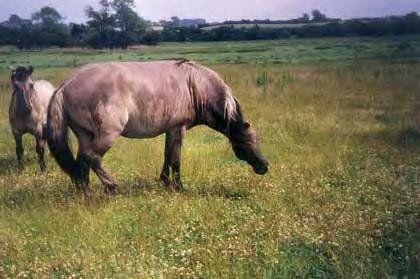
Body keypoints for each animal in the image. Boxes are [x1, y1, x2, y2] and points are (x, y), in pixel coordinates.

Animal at [46, 61, 270, 196]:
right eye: (246, 143)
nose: (264, 166)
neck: (195, 85)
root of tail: (65, 86)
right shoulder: (178, 129)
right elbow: (176, 160)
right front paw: (179, 187)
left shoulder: (170, 130)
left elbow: (167, 156)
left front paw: (165, 181)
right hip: (107, 134)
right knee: (92, 157)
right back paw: (111, 186)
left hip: (85, 134)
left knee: (81, 163)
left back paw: (85, 193)